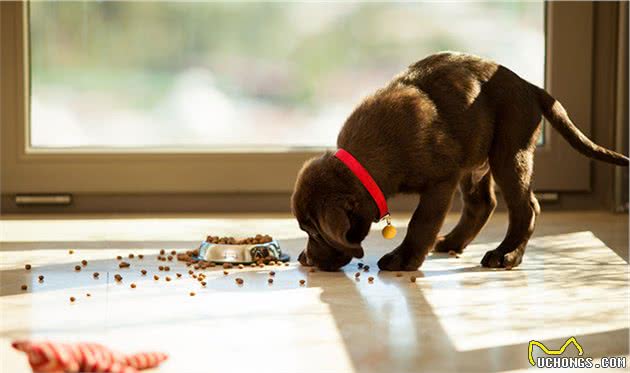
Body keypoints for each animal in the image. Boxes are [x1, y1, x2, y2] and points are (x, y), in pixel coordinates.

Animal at [292, 51, 630, 270]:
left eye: (315, 233)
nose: (306, 260)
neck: (367, 160)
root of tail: (530, 87)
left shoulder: (441, 180)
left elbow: (421, 222)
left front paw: (404, 258)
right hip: (477, 160)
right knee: (483, 204)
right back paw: (454, 242)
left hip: (509, 153)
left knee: (526, 208)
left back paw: (506, 255)